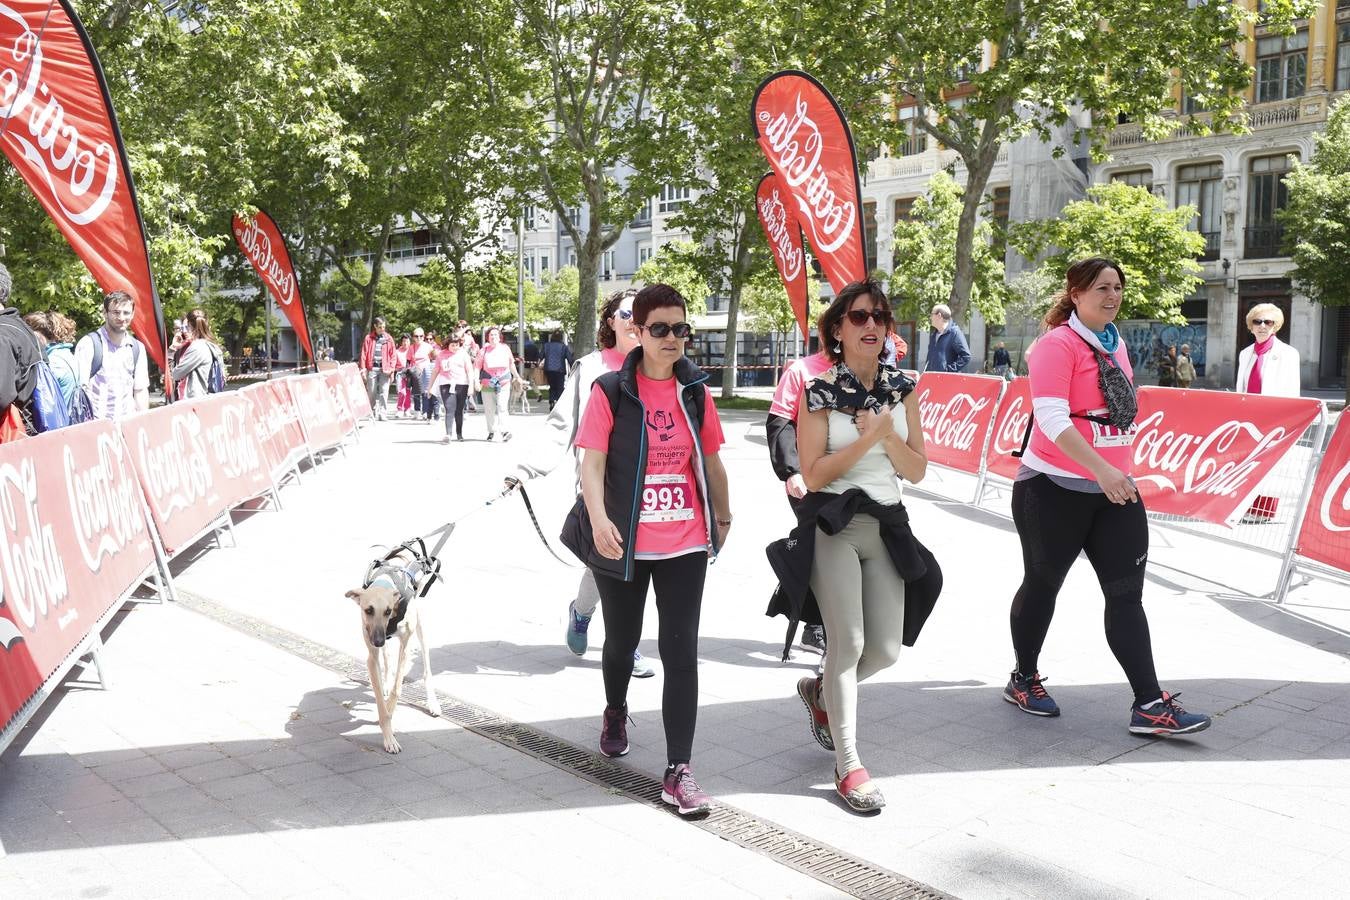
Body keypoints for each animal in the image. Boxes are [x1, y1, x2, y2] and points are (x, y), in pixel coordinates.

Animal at [345, 553, 440, 750]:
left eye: (388, 611)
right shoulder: (371, 656)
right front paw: (388, 733)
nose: (378, 641)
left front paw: (390, 713)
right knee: (387, 658)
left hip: (421, 628)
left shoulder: (405, 646)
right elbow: (380, 699)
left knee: (426, 669)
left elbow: (397, 690)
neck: (386, 582)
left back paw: (433, 702)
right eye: (368, 610)